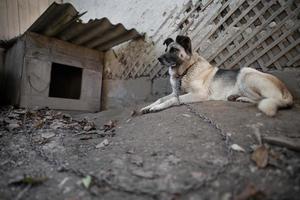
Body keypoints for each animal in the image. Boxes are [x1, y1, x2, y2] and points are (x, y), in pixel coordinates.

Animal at [141, 34, 292, 115]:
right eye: (166, 49)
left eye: (173, 50)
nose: (159, 59)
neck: (186, 70)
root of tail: (285, 89)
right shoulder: (176, 92)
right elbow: (161, 98)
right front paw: (147, 107)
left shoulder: (199, 94)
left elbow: (171, 100)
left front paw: (156, 108)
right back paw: (236, 97)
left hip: (246, 73)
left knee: (263, 99)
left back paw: (242, 99)